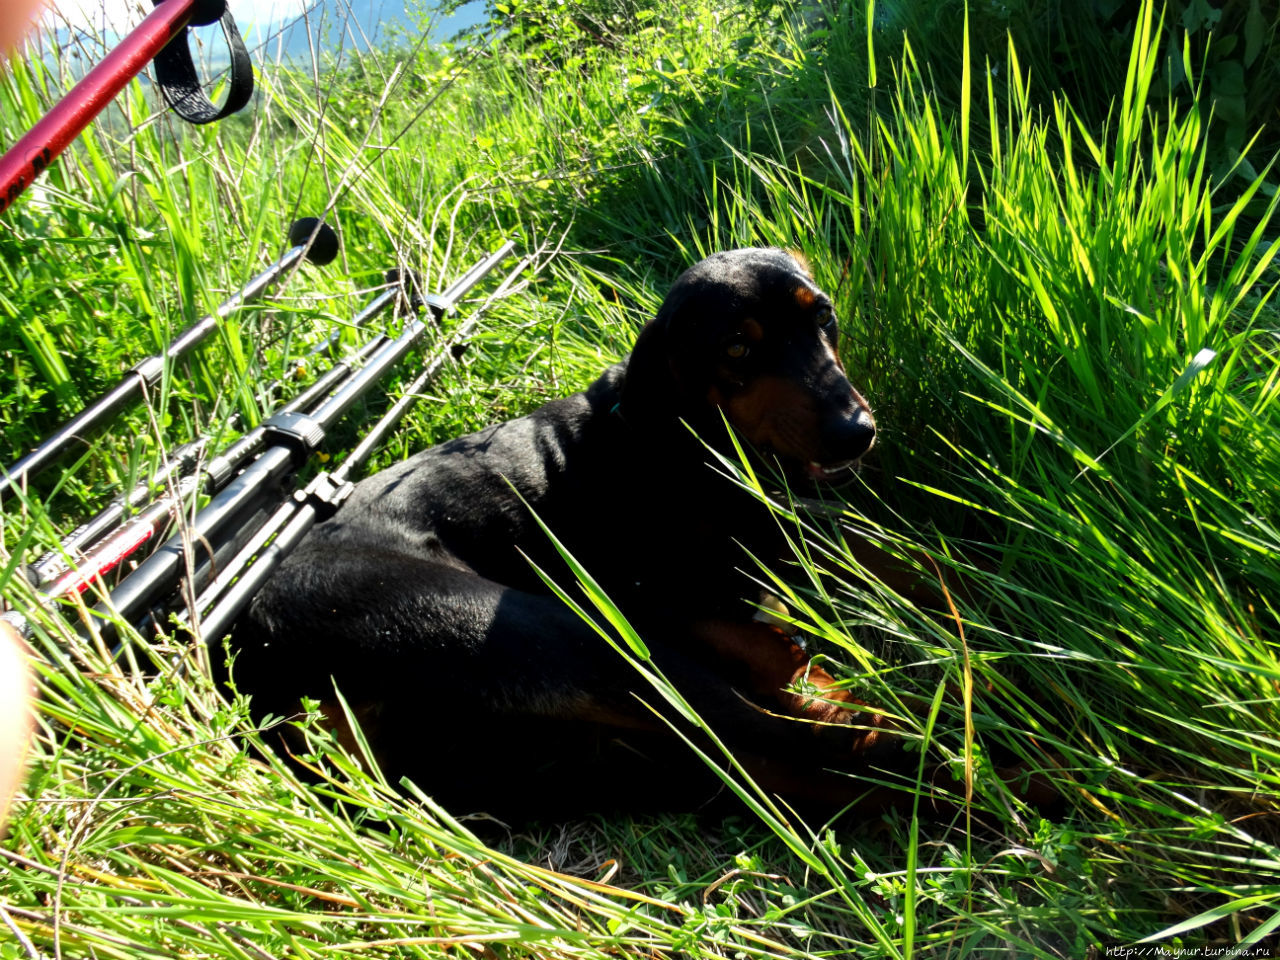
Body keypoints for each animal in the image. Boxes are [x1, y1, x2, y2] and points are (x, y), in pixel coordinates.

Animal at [232, 249, 911, 819]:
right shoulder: (641, 596)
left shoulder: (776, 530)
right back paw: (924, 748)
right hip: (563, 635)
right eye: (737, 349)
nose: (856, 432)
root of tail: (258, 661)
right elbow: (763, 644)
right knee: (776, 739)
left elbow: (895, 559)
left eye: (822, 315)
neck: (685, 444)